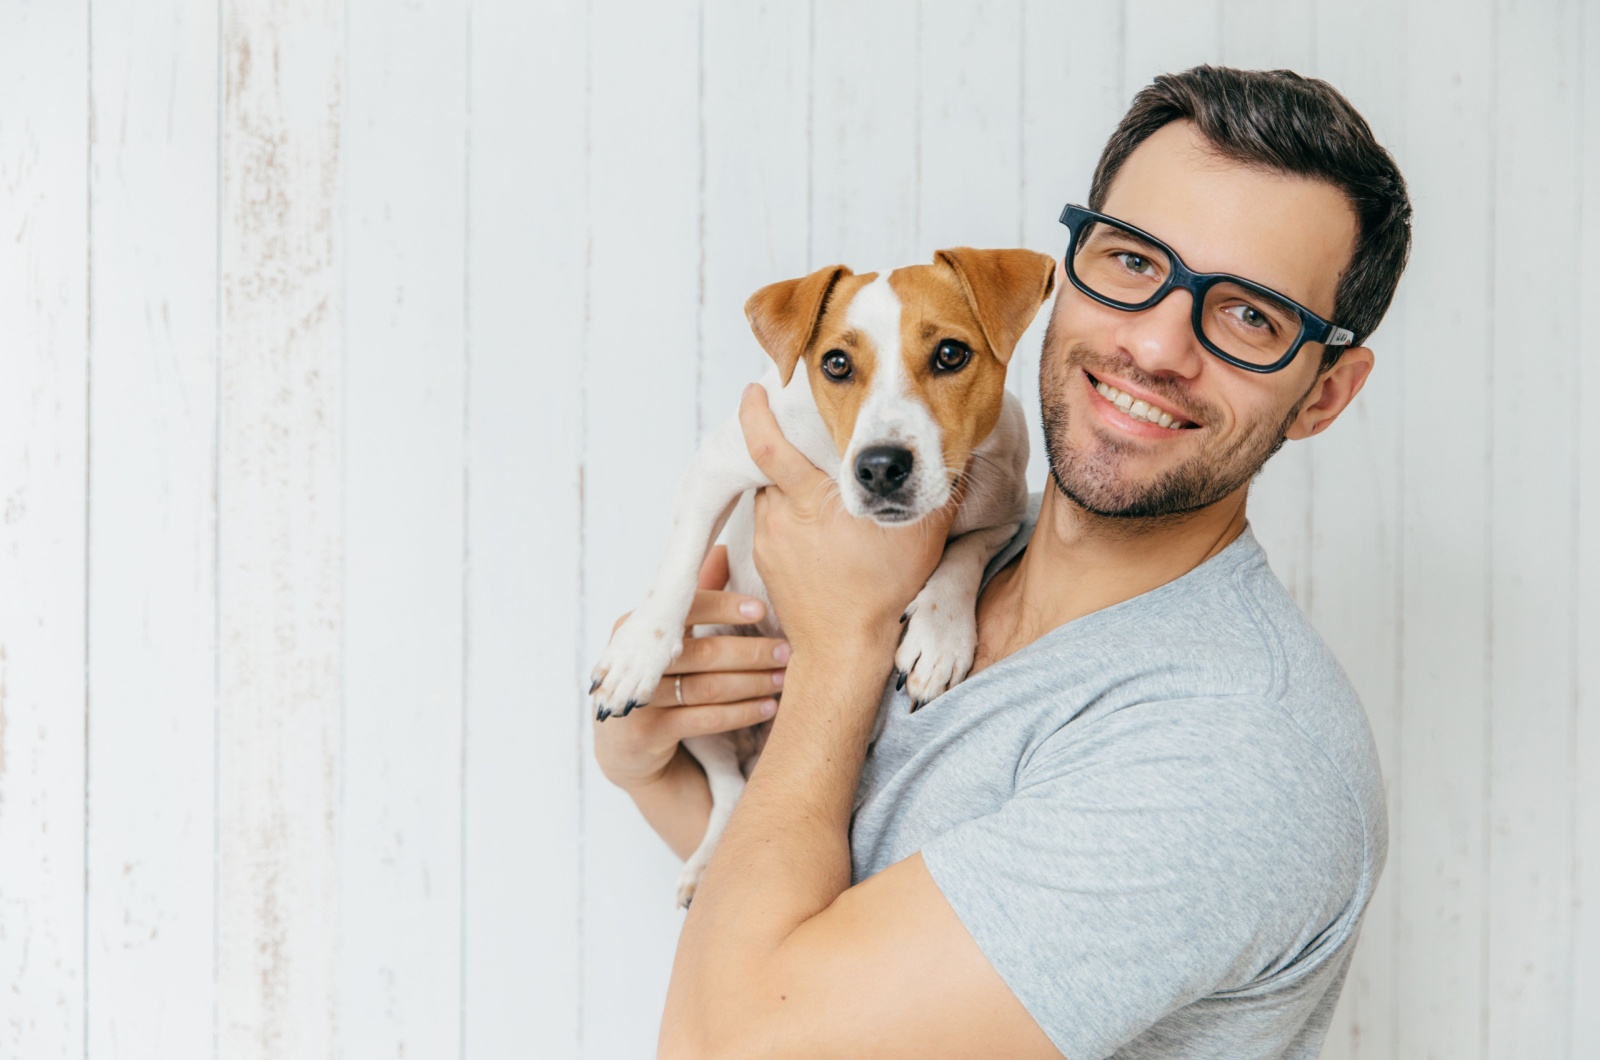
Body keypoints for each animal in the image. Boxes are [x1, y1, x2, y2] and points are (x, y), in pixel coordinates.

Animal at [588, 246, 1049, 903]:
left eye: (951, 354)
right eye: (835, 363)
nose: (880, 467)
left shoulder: (1003, 510)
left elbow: (962, 557)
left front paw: (939, 635)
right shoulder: (720, 462)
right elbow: (679, 562)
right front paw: (636, 655)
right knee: (727, 787)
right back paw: (706, 863)